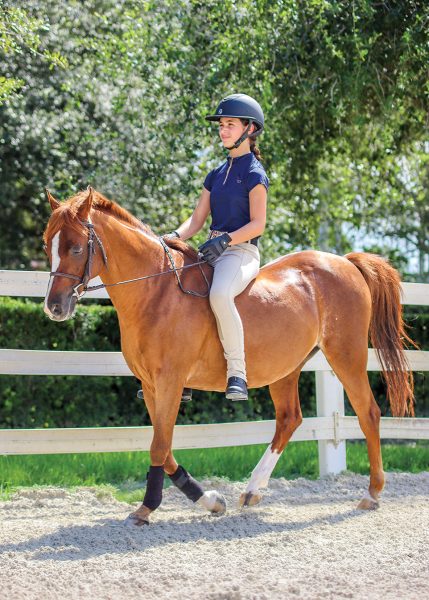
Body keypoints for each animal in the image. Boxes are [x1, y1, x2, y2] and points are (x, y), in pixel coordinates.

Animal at [42, 188, 412, 524]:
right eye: (48, 245)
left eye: (76, 247)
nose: (54, 307)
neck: (156, 292)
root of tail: (345, 262)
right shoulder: (150, 385)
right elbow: (165, 446)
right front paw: (208, 500)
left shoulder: (170, 381)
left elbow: (159, 446)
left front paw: (146, 508)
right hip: (286, 367)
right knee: (289, 419)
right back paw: (252, 491)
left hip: (346, 355)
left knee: (368, 413)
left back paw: (372, 494)